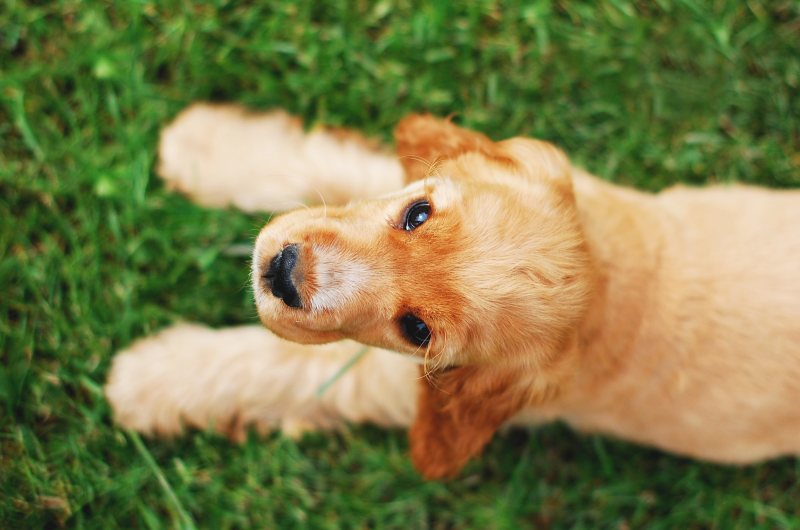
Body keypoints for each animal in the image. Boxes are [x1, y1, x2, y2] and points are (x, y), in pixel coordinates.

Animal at [106, 104, 800, 478]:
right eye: (417, 214)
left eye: (417, 330)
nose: (281, 271)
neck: (608, 285)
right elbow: (332, 167)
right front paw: (203, 145)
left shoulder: (398, 381)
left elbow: (283, 366)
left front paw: (148, 380)